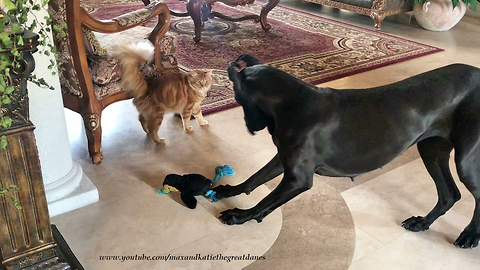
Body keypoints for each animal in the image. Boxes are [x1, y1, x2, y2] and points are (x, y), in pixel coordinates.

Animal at [214, 54, 480, 249]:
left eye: (241, 80)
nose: (234, 61)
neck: (291, 101)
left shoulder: (297, 179)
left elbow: (265, 202)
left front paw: (240, 215)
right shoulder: (284, 159)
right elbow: (254, 179)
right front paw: (229, 190)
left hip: (465, 161)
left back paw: (470, 235)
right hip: (431, 150)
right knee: (449, 194)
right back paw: (422, 223)